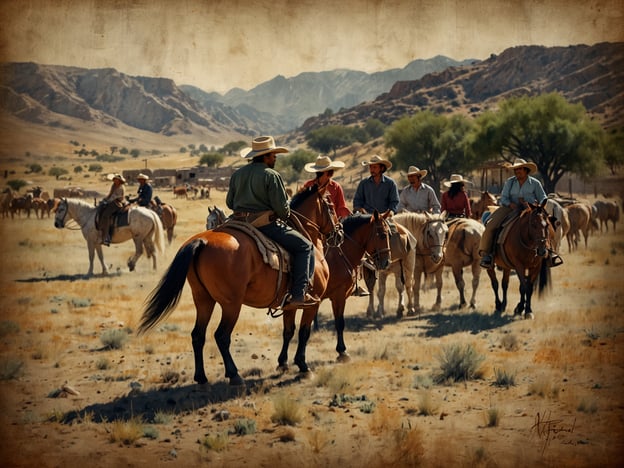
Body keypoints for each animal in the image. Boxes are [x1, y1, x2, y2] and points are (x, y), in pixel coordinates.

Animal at [138, 185, 342, 386]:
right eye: (331, 207)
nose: (339, 233)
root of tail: (201, 241)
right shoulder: (312, 303)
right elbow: (304, 333)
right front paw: (303, 366)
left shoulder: (290, 305)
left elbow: (288, 332)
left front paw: (282, 363)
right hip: (231, 304)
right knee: (221, 336)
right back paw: (234, 375)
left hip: (203, 300)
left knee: (198, 335)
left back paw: (201, 377)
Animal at [306, 212, 392, 362]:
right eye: (382, 235)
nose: (387, 262)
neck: (339, 255)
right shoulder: (338, 296)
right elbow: (340, 323)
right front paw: (342, 351)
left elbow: (338, 321)